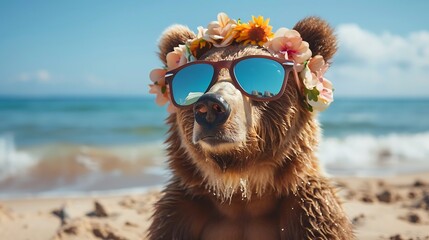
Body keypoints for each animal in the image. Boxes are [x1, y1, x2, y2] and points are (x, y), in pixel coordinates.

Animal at [145, 13, 352, 240]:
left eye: (256, 73)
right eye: (195, 77)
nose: (210, 106)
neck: (242, 189)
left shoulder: (311, 209)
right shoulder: (179, 211)